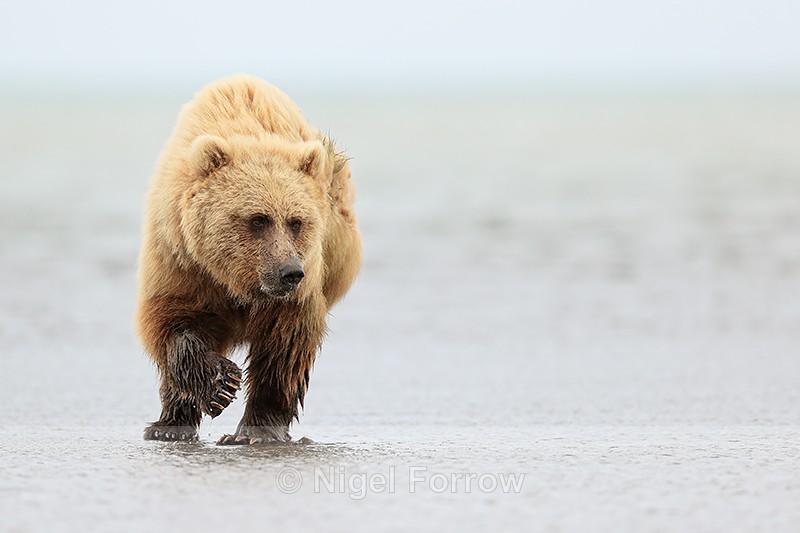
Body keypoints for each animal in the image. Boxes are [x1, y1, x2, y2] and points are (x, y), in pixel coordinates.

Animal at [136, 74, 362, 444]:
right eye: (258, 219)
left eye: (296, 221)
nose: (290, 272)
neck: (237, 279)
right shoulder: (182, 261)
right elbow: (173, 322)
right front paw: (220, 386)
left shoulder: (296, 290)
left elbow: (284, 346)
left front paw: (257, 430)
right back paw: (167, 425)